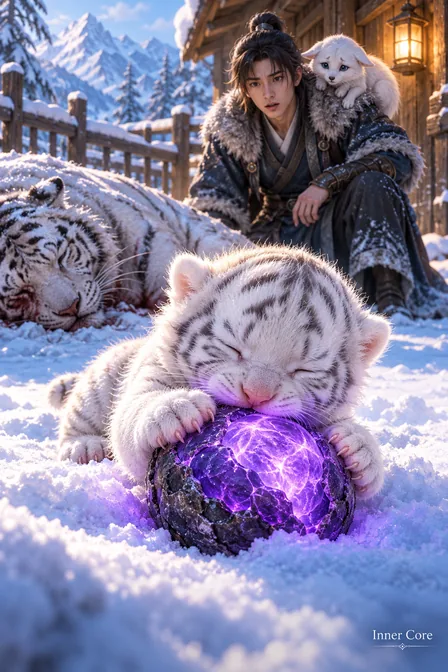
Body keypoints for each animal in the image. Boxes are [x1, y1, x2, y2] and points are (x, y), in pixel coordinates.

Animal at [48, 245, 391, 500]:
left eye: (304, 369)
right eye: (232, 347)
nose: (256, 395)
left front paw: (360, 449)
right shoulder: (148, 375)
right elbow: (132, 413)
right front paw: (175, 408)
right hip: (100, 380)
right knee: (75, 420)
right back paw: (84, 447)